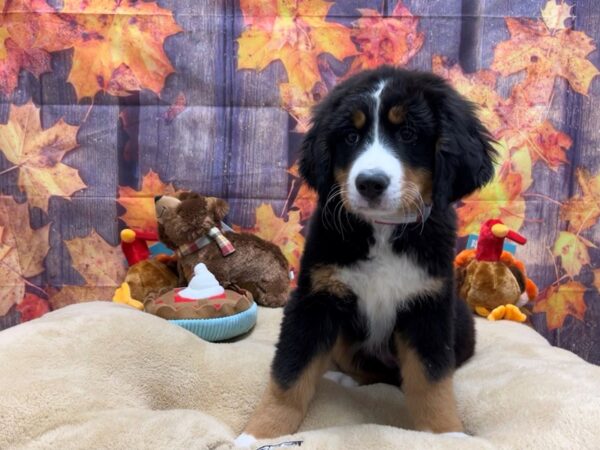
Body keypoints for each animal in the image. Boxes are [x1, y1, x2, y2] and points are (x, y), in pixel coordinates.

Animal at [237, 66, 494, 446]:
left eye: (408, 133)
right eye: (350, 137)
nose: (370, 183)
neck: (383, 231)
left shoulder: (429, 306)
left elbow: (432, 381)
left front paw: (447, 434)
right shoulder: (315, 297)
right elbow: (289, 373)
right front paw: (260, 434)